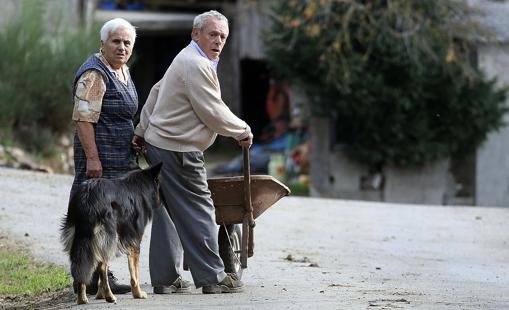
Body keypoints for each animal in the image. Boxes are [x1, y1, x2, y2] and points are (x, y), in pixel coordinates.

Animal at [60, 163, 162, 304]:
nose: (162, 202)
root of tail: (88, 196)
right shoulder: (134, 241)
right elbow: (134, 273)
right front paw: (138, 294)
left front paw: (99, 295)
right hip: (109, 238)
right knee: (103, 267)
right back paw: (110, 296)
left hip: (81, 237)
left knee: (82, 266)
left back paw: (82, 298)